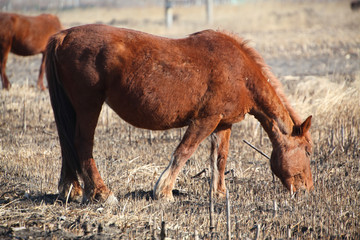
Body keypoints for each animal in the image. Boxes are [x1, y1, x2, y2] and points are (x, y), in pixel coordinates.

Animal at [46, 24, 314, 203]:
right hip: (89, 105)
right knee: (82, 144)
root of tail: (63, 35)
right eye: (308, 151)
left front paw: (219, 193)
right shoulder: (205, 120)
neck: (239, 72)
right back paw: (101, 193)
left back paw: (73, 189)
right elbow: (184, 152)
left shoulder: (222, 124)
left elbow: (220, 158)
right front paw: (163, 192)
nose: (308, 189)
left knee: (68, 144)